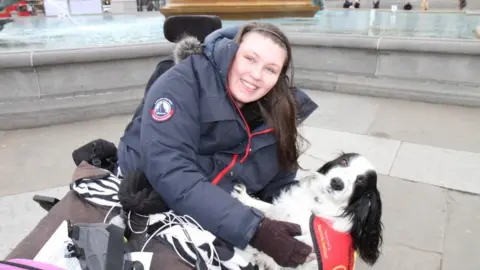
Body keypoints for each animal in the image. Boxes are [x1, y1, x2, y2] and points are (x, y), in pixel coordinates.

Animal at [231, 153, 384, 268]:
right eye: (343, 161)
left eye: (360, 181)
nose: (337, 183)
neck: (318, 202)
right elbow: (267, 207)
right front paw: (245, 197)